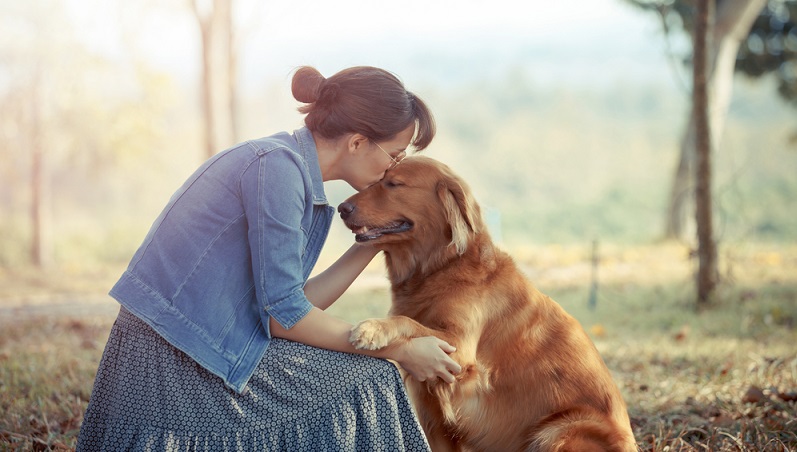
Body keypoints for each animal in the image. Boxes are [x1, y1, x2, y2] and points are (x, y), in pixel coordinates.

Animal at [336, 156, 636, 452]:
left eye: (394, 184)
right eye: (376, 181)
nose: (341, 208)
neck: (441, 267)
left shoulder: (457, 350)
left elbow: (406, 321)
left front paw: (372, 328)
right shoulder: (434, 413)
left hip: (558, 430)